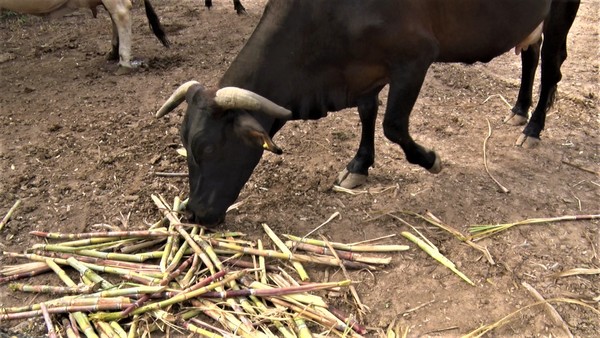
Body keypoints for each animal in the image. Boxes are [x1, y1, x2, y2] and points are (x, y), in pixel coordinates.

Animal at [157, 0, 556, 227]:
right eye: (184, 144)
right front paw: (359, 166)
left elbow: (393, 125)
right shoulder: (364, 70)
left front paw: (430, 159)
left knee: (552, 64)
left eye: (207, 148)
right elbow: (367, 114)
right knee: (531, 53)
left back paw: (533, 128)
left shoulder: (415, 58)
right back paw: (519, 110)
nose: (194, 214)